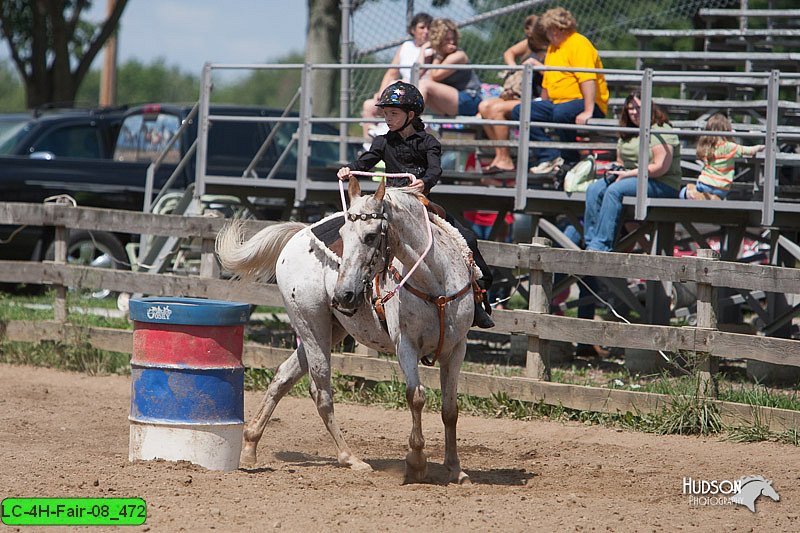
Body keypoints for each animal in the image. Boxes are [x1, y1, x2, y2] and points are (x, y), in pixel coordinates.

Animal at [216, 176, 482, 482]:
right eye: (343, 235)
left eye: (370, 236)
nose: (344, 294)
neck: (434, 284)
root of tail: (299, 234)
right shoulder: (405, 346)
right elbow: (415, 397)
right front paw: (416, 463)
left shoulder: (456, 348)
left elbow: (450, 410)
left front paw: (456, 469)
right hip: (312, 326)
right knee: (321, 392)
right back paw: (350, 458)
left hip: (328, 331)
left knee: (283, 376)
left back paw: (250, 445)